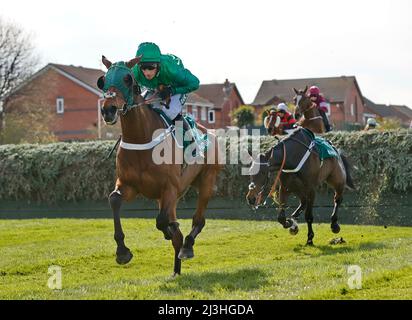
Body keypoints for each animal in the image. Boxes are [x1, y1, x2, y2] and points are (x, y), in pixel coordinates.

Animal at [98, 56, 222, 276]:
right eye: (103, 80)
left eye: (128, 79)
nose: (108, 109)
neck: (141, 138)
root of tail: (209, 131)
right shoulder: (129, 185)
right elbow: (114, 200)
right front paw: (122, 251)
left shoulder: (169, 187)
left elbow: (162, 220)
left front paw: (170, 230)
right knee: (176, 233)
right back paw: (176, 270)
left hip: (206, 180)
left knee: (198, 220)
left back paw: (187, 247)